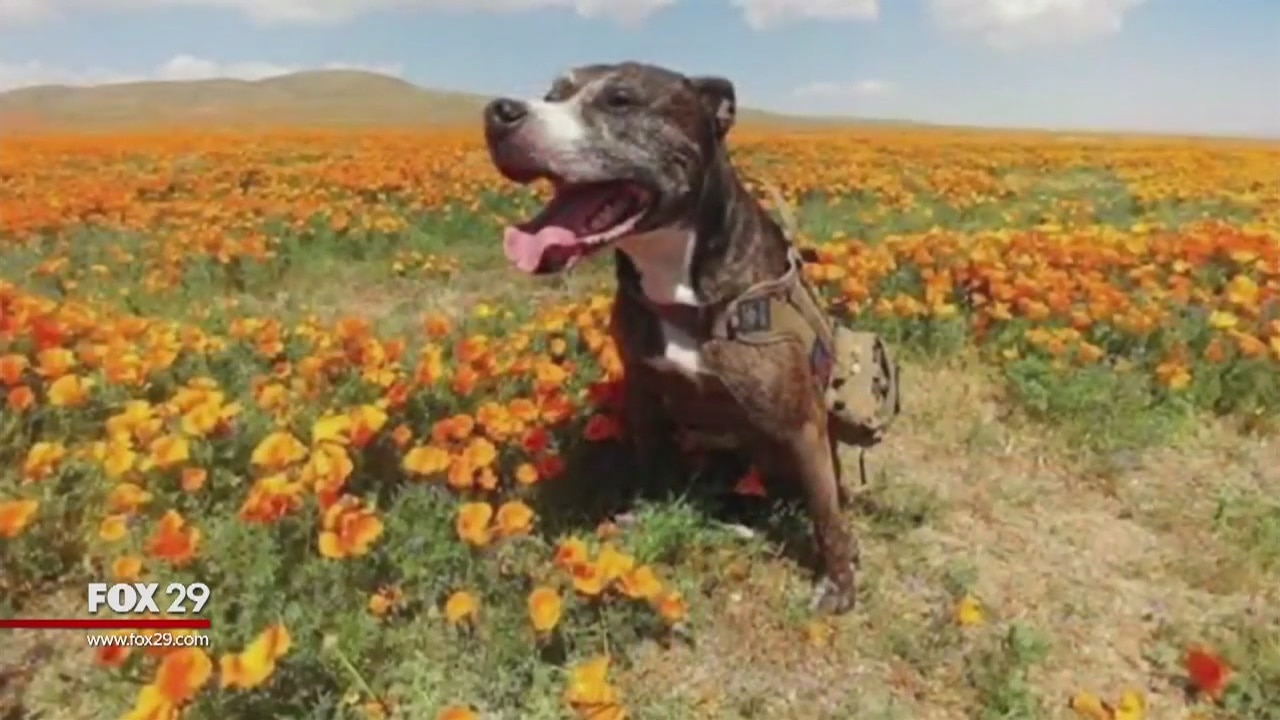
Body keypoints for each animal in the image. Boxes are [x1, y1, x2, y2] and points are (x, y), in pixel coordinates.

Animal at [482, 62, 899, 614]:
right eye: (553, 94)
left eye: (620, 100)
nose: (499, 112)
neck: (677, 276)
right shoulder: (643, 392)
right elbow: (652, 466)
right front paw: (645, 511)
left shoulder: (800, 424)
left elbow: (826, 513)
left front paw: (838, 582)